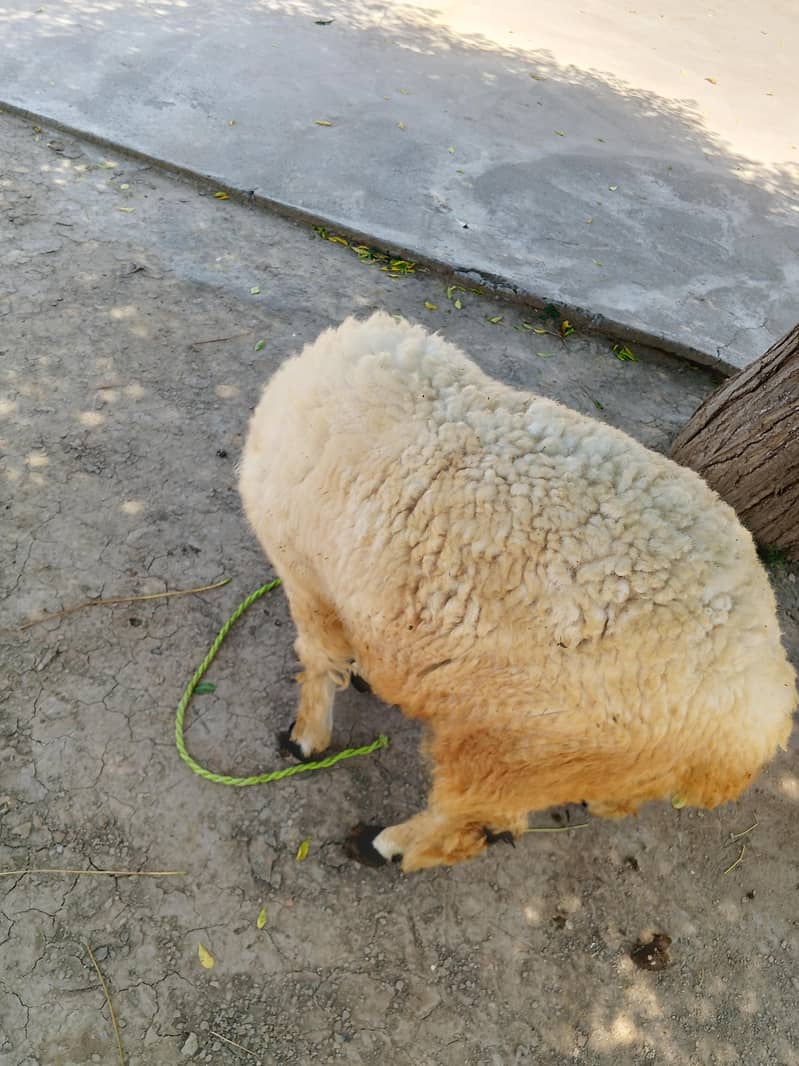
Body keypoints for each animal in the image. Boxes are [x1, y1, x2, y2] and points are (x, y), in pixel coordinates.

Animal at [238, 312, 797, 871]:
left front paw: (305, 739)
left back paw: (383, 845)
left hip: (515, 749)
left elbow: (317, 661)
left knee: (468, 826)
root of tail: (761, 722)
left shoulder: (308, 579)